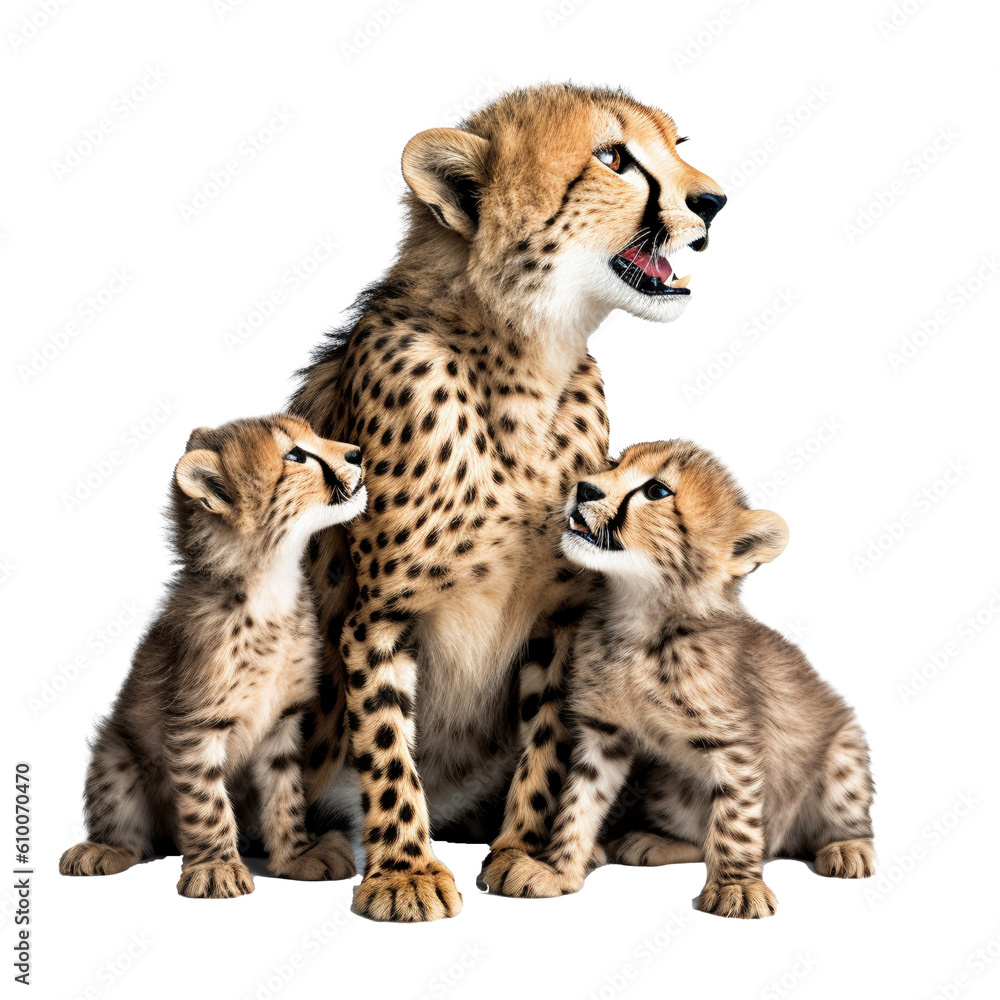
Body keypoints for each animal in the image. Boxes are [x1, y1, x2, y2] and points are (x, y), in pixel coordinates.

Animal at [59, 415, 365, 898]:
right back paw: (103, 849)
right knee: (130, 829)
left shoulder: (282, 724)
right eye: (295, 455)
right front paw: (217, 866)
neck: (269, 581)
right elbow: (206, 802)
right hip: (116, 754)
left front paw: (297, 855)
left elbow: (286, 794)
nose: (357, 453)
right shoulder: (196, 726)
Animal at [288, 84, 727, 921]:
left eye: (678, 144)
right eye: (614, 158)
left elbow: (550, 743)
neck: (525, 360)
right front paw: (405, 871)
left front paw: (527, 850)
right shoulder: (378, 616)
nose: (715, 201)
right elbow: (388, 749)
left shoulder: (560, 616)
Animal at [479, 439, 876, 918]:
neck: (640, 616)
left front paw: (736, 885)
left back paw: (848, 847)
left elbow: (735, 823)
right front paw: (557, 869)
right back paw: (646, 843)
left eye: (657, 491)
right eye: (615, 463)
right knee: (704, 838)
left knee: (833, 823)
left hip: (843, 756)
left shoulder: (735, 746)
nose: (585, 488)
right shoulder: (605, 733)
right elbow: (579, 803)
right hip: (670, 788)